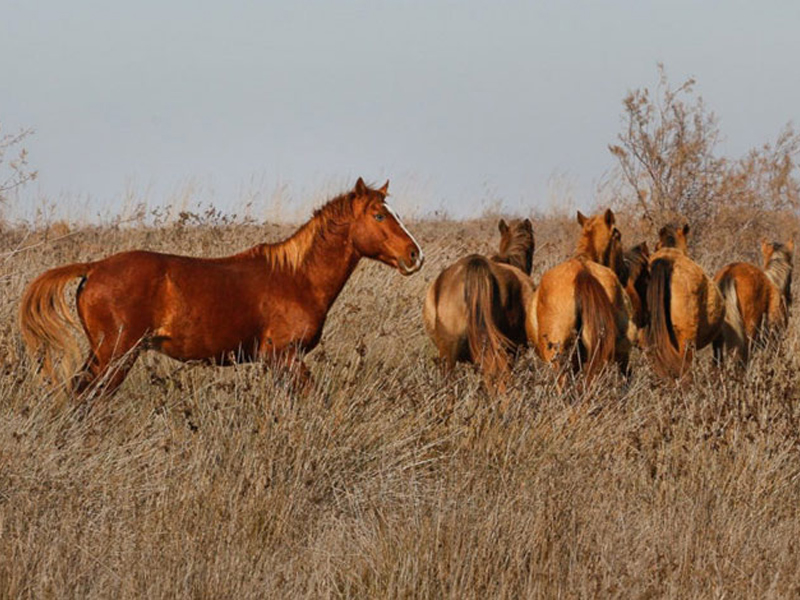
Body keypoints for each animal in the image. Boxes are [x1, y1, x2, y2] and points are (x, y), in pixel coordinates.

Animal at [18, 178, 424, 396]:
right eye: (379, 215)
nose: (414, 255)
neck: (297, 278)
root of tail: (94, 267)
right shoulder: (284, 357)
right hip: (116, 355)